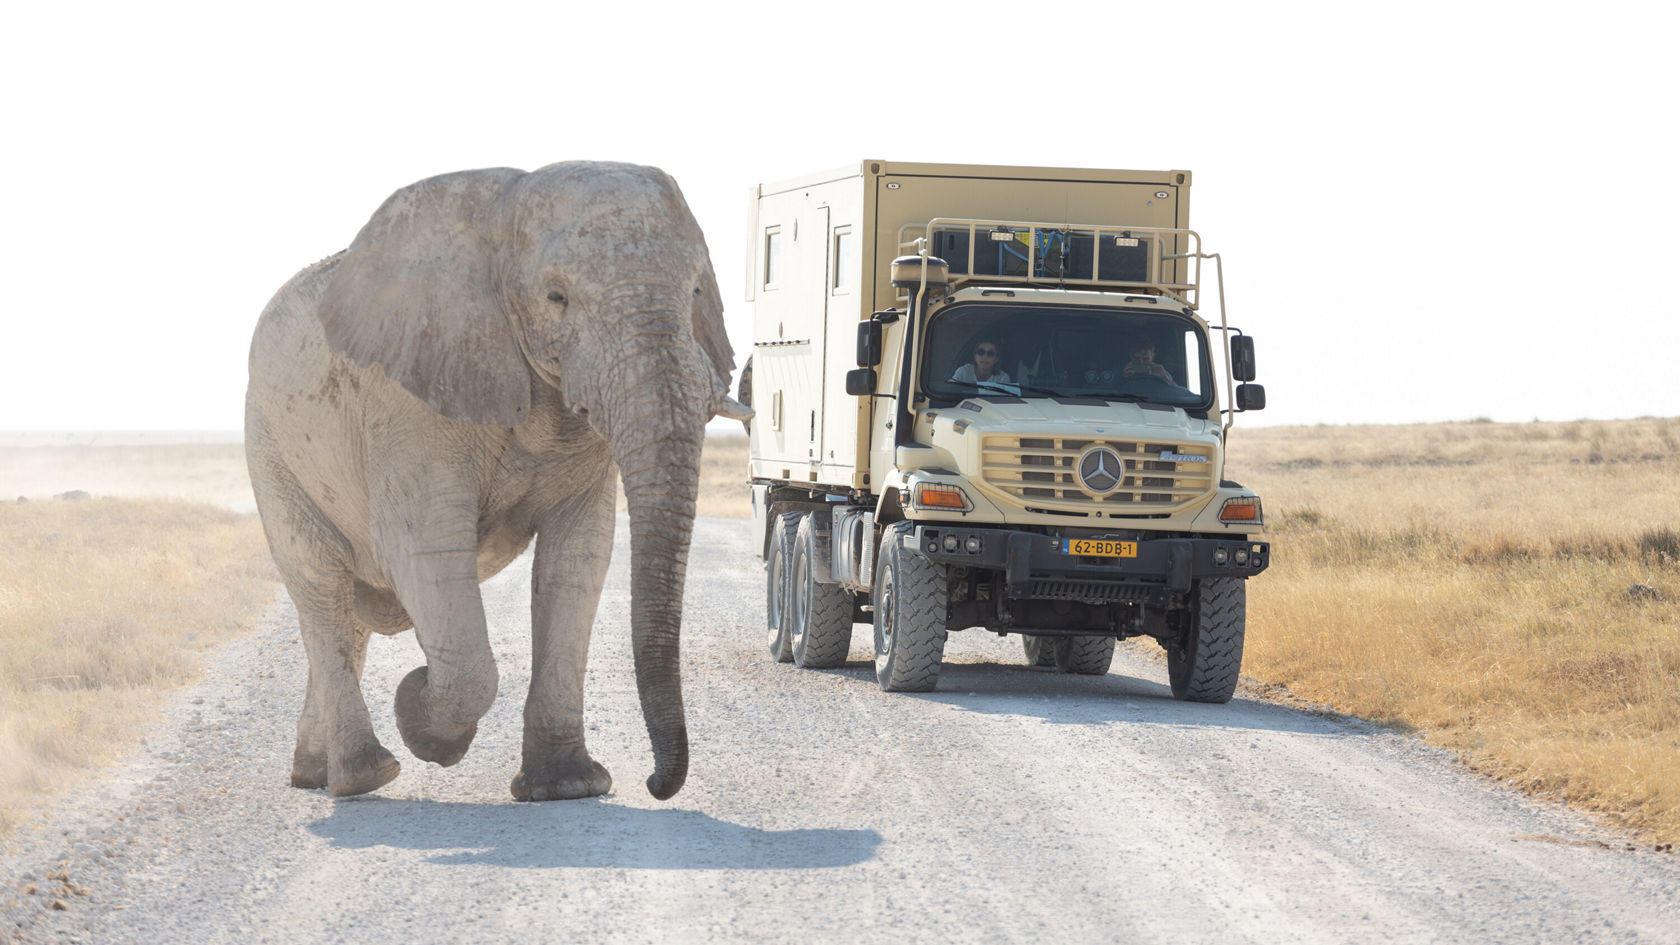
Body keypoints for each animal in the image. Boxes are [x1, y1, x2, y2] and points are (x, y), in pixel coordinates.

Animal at [244, 161, 749, 802]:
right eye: (557, 298)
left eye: (696, 293)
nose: (658, 784)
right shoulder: (407, 398)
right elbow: (425, 551)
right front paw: (423, 718)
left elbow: (577, 559)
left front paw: (567, 788)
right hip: (270, 449)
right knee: (320, 585)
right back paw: (362, 776)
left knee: (344, 615)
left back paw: (315, 773)